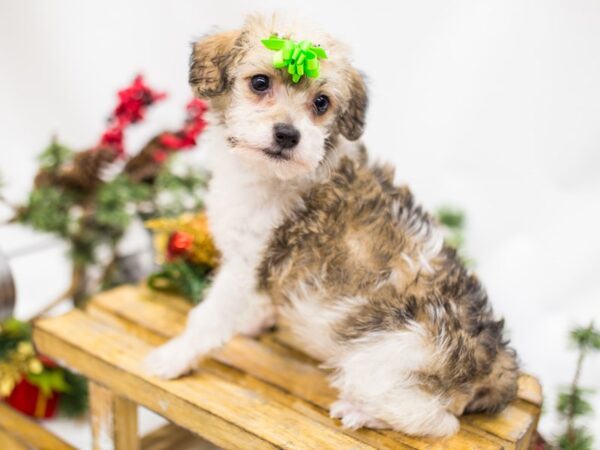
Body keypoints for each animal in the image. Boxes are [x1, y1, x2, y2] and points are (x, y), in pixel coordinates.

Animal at [143, 13, 516, 436]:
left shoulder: (245, 266)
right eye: (260, 82)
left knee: (437, 420)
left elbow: (206, 318)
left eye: (321, 103)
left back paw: (359, 412)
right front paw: (255, 322)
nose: (288, 134)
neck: (268, 174)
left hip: (378, 363)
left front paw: (172, 357)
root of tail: (495, 363)